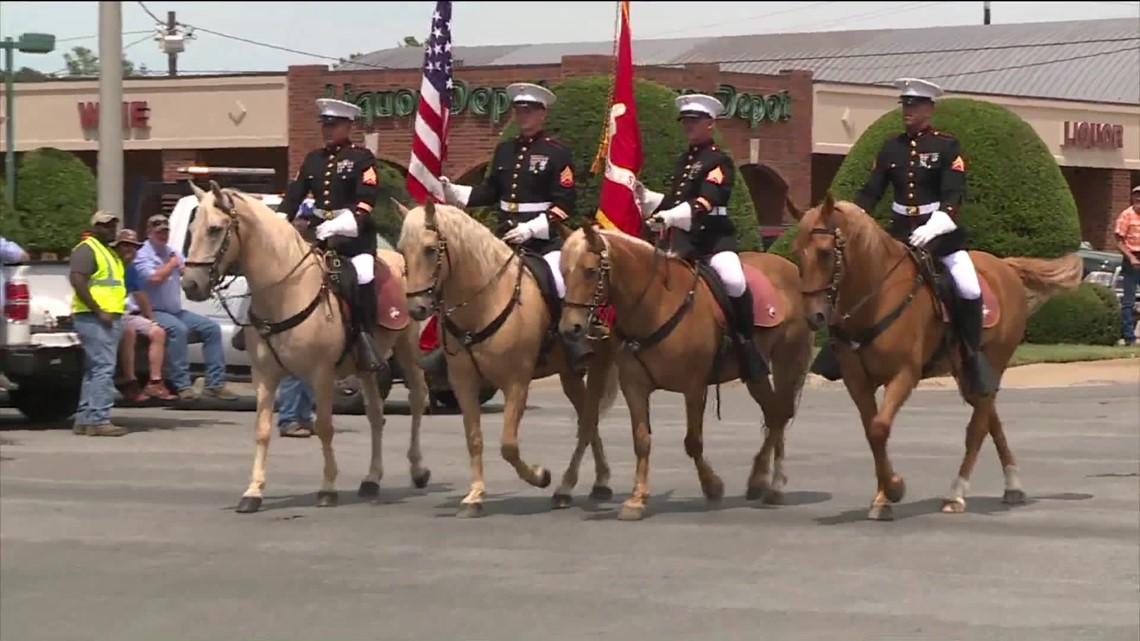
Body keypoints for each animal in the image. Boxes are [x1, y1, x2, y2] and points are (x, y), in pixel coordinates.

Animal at [182, 182, 430, 510]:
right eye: (192, 229)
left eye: (214, 229)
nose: (190, 285)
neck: (286, 293)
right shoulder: (265, 375)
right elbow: (262, 430)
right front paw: (253, 491)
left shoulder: (321, 374)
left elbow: (324, 427)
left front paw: (327, 488)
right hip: (367, 367)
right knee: (376, 415)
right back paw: (371, 479)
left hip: (407, 350)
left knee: (417, 399)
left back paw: (418, 469)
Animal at [394, 199, 624, 513]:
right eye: (402, 249)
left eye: (430, 249)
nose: (417, 308)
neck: (485, 303)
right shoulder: (463, 382)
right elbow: (474, 438)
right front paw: (475, 495)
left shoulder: (516, 382)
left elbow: (508, 445)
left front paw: (539, 475)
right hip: (569, 373)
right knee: (588, 420)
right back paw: (597, 481)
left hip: (598, 364)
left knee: (588, 421)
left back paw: (571, 485)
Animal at [558, 224, 811, 520]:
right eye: (563, 271)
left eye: (589, 270)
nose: (569, 328)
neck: (656, 305)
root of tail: (790, 268)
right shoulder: (634, 386)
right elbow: (641, 440)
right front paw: (637, 499)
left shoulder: (694, 387)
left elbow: (693, 441)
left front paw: (712, 486)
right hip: (755, 374)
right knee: (774, 415)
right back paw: (759, 480)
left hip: (786, 360)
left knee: (781, 414)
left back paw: (775, 485)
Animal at [788, 195, 1080, 520]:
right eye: (797, 252)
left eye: (825, 252)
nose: (814, 316)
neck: (877, 297)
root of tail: (1004, 266)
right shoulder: (857, 380)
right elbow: (873, 432)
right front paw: (882, 497)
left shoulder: (904, 374)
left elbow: (879, 428)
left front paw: (894, 488)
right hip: (966, 372)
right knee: (990, 418)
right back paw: (1012, 485)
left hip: (994, 361)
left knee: (977, 428)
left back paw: (957, 494)